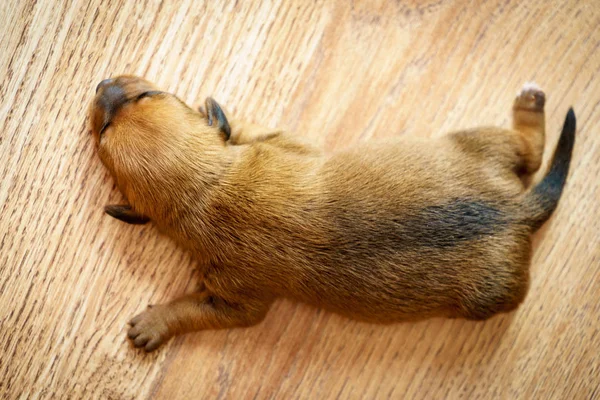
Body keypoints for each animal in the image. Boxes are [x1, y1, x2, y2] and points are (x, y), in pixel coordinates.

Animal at [89, 75, 576, 350]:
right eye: (109, 123)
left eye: (149, 93)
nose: (101, 85)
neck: (209, 186)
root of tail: (517, 209)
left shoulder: (238, 299)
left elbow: (198, 309)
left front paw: (154, 323)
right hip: (482, 145)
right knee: (527, 152)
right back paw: (530, 107)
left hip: (491, 292)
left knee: (532, 154)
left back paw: (530, 104)